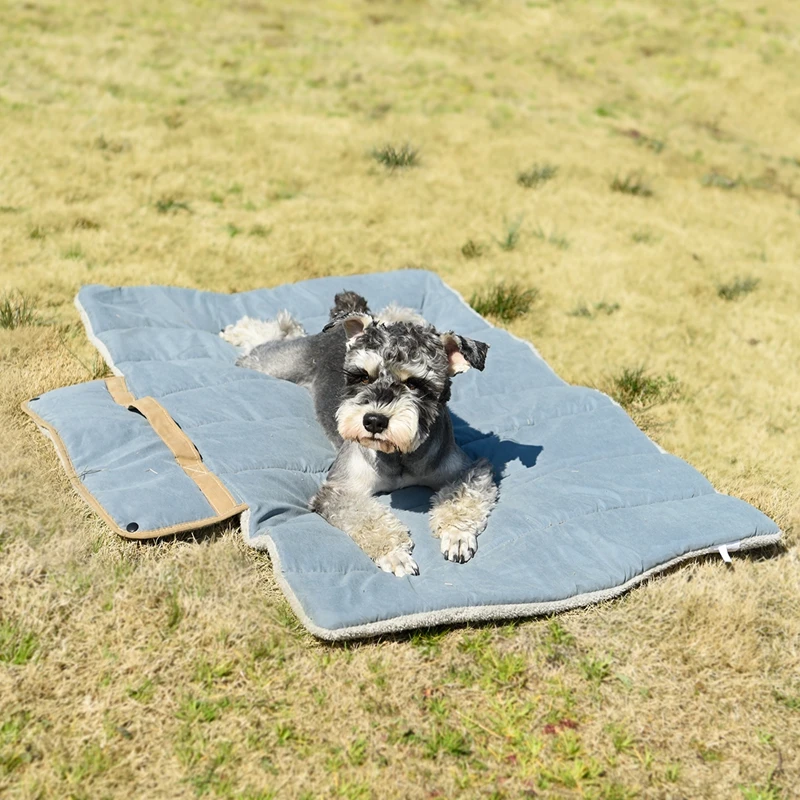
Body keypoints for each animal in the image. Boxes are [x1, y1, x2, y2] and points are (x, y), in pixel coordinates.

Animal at [222, 290, 496, 580]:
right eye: (363, 377)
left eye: (414, 384)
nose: (374, 421)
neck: (398, 456)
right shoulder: (340, 490)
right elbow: (365, 518)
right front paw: (394, 554)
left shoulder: (468, 470)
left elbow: (461, 498)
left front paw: (457, 535)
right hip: (272, 364)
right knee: (264, 342)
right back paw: (238, 330)